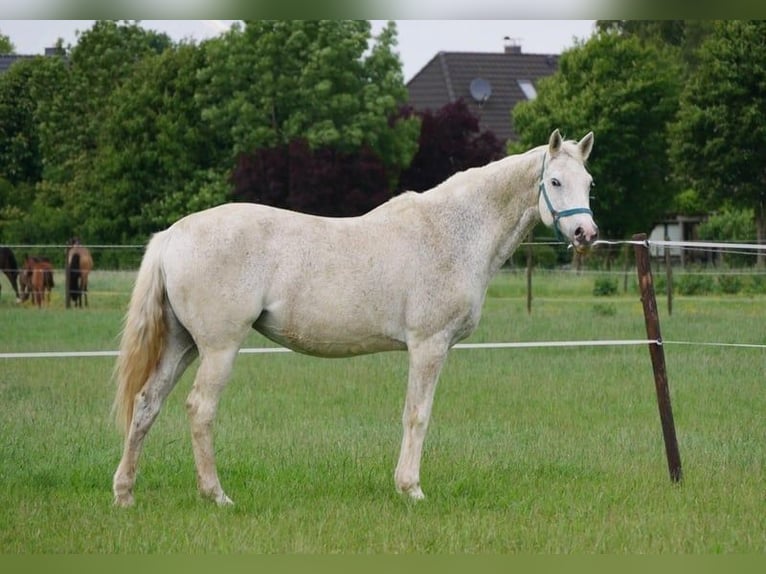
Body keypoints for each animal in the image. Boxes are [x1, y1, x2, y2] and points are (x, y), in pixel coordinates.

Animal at [112, 129, 599, 507]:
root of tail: (172, 235)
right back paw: (216, 495)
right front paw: (411, 489)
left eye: (589, 182)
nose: (585, 234)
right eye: (555, 180)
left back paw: (125, 493)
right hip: (218, 348)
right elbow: (417, 414)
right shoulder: (428, 345)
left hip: (183, 344)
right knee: (200, 409)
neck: (452, 232)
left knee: (147, 404)